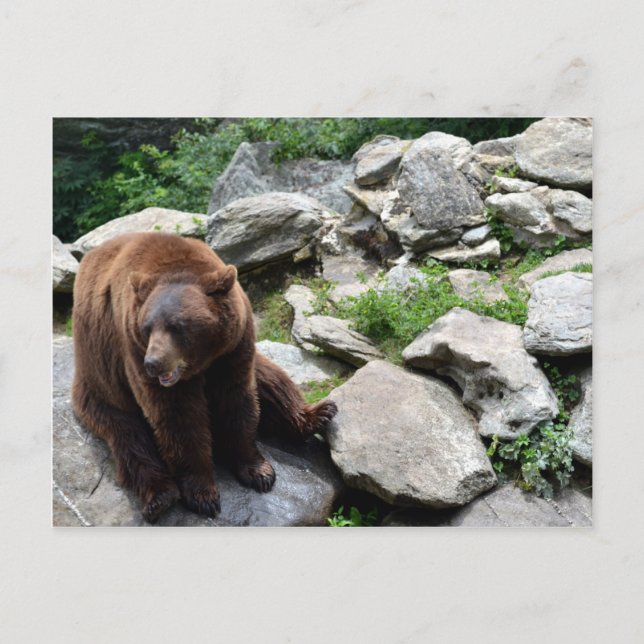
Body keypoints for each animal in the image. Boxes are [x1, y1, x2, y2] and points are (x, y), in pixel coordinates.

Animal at [71, 232, 337, 523]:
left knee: (271, 378)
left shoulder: (233, 347)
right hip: (102, 376)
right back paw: (160, 497)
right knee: (127, 436)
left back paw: (318, 414)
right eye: (147, 327)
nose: (152, 364)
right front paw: (203, 495)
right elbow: (178, 419)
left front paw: (258, 471)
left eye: (176, 326)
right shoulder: (133, 349)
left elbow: (236, 399)